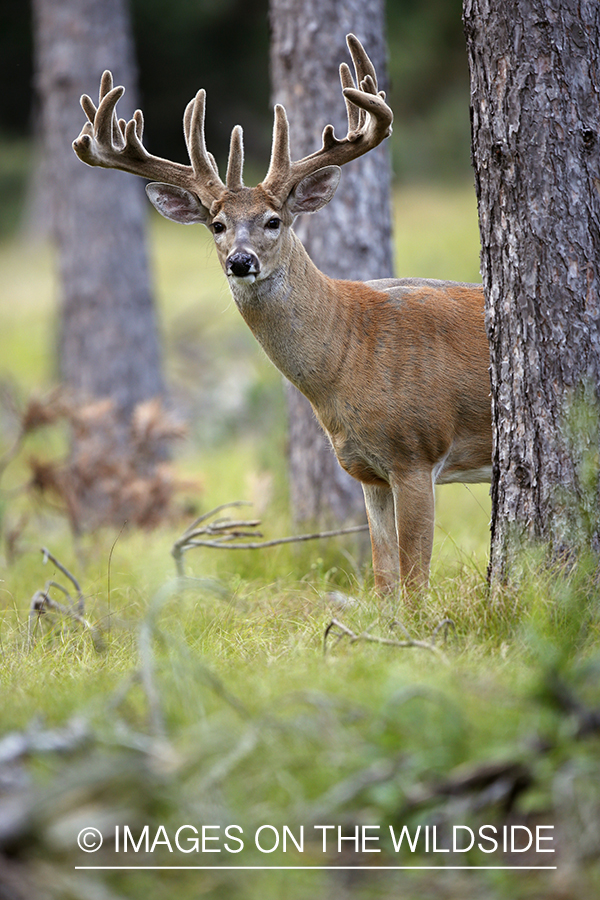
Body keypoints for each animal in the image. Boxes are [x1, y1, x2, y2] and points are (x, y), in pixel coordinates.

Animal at [71, 33, 492, 596]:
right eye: (217, 224)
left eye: (273, 220)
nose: (240, 261)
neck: (348, 358)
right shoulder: (369, 472)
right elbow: (384, 579)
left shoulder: (417, 451)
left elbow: (414, 583)